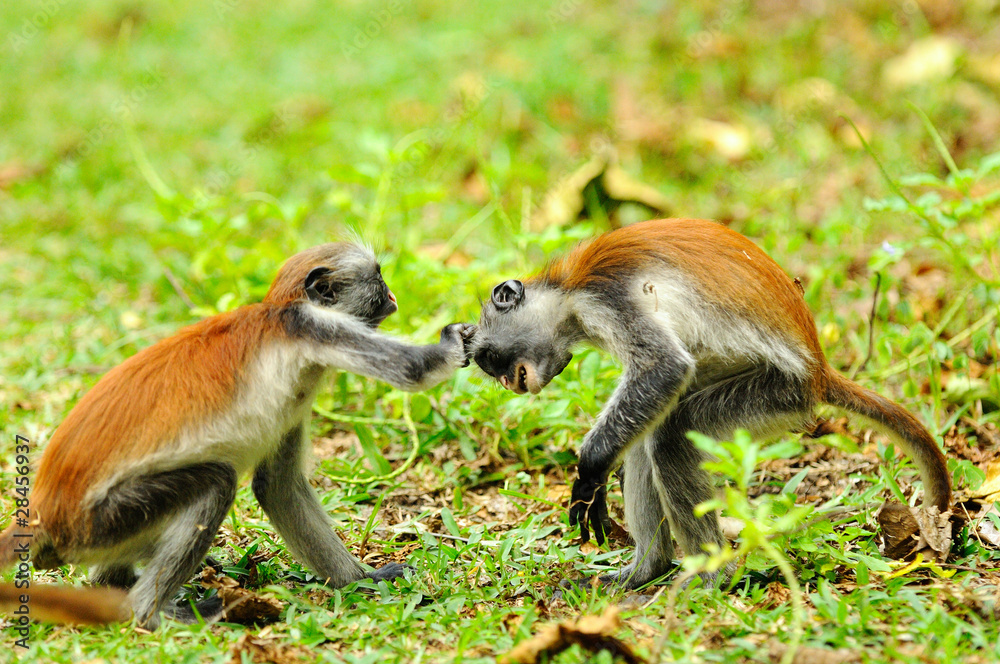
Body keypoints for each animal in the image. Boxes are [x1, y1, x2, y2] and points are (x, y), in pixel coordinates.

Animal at [0, 242, 476, 628]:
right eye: (377, 277)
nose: (392, 295)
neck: (276, 310)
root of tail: (46, 514)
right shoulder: (311, 325)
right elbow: (412, 370)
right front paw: (459, 339)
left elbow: (277, 487)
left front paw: (361, 581)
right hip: (104, 520)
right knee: (215, 482)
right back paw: (151, 614)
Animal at [471, 218, 951, 589]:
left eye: (491, 358)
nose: (509, 383)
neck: (566, 290)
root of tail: (817, 372)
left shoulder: (604, 296)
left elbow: (664, 368)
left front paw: (589, 472)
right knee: (650, 438)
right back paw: (647, 571)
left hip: (778, 393)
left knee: (671, 436)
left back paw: (710, 580)